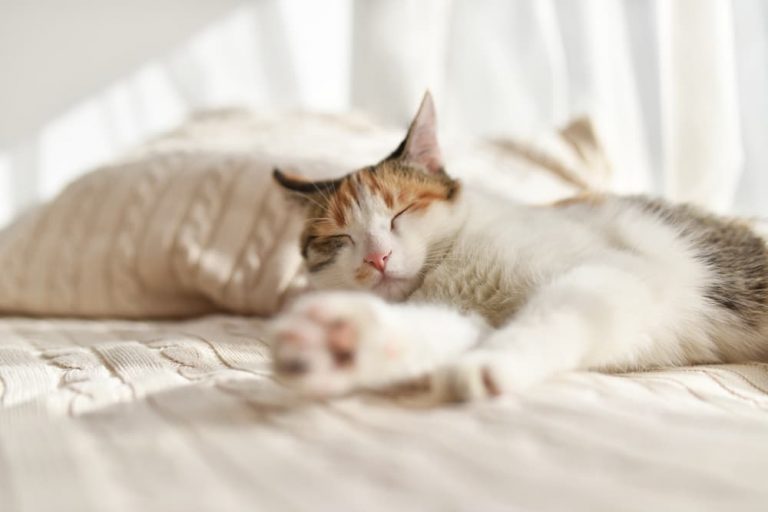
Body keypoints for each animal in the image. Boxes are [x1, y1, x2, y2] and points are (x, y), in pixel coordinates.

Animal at [266, 93, 768, 404]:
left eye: (400, 212)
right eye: (339, 239)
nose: (377, 257)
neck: (457, 268)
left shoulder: (613, 275)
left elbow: (546, 319)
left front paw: (489, 364)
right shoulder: (470, 316)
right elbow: (435, 330)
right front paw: (344, 342)